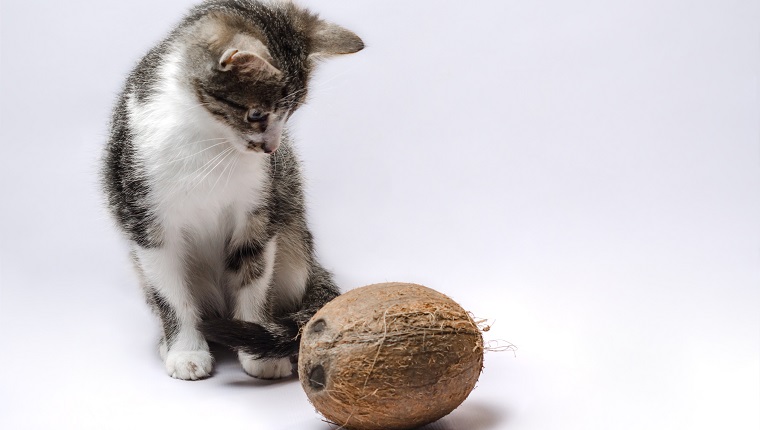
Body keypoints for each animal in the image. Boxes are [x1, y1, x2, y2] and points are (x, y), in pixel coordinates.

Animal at [101, 0, 362, 380]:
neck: (210, 139)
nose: (272, 148)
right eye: (256, 115)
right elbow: (170, 292)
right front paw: (186, 350)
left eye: (289, 113)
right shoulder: (145, 217)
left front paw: (258, 352)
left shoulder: (260, 208)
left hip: (294, 242)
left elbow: (253, 272)